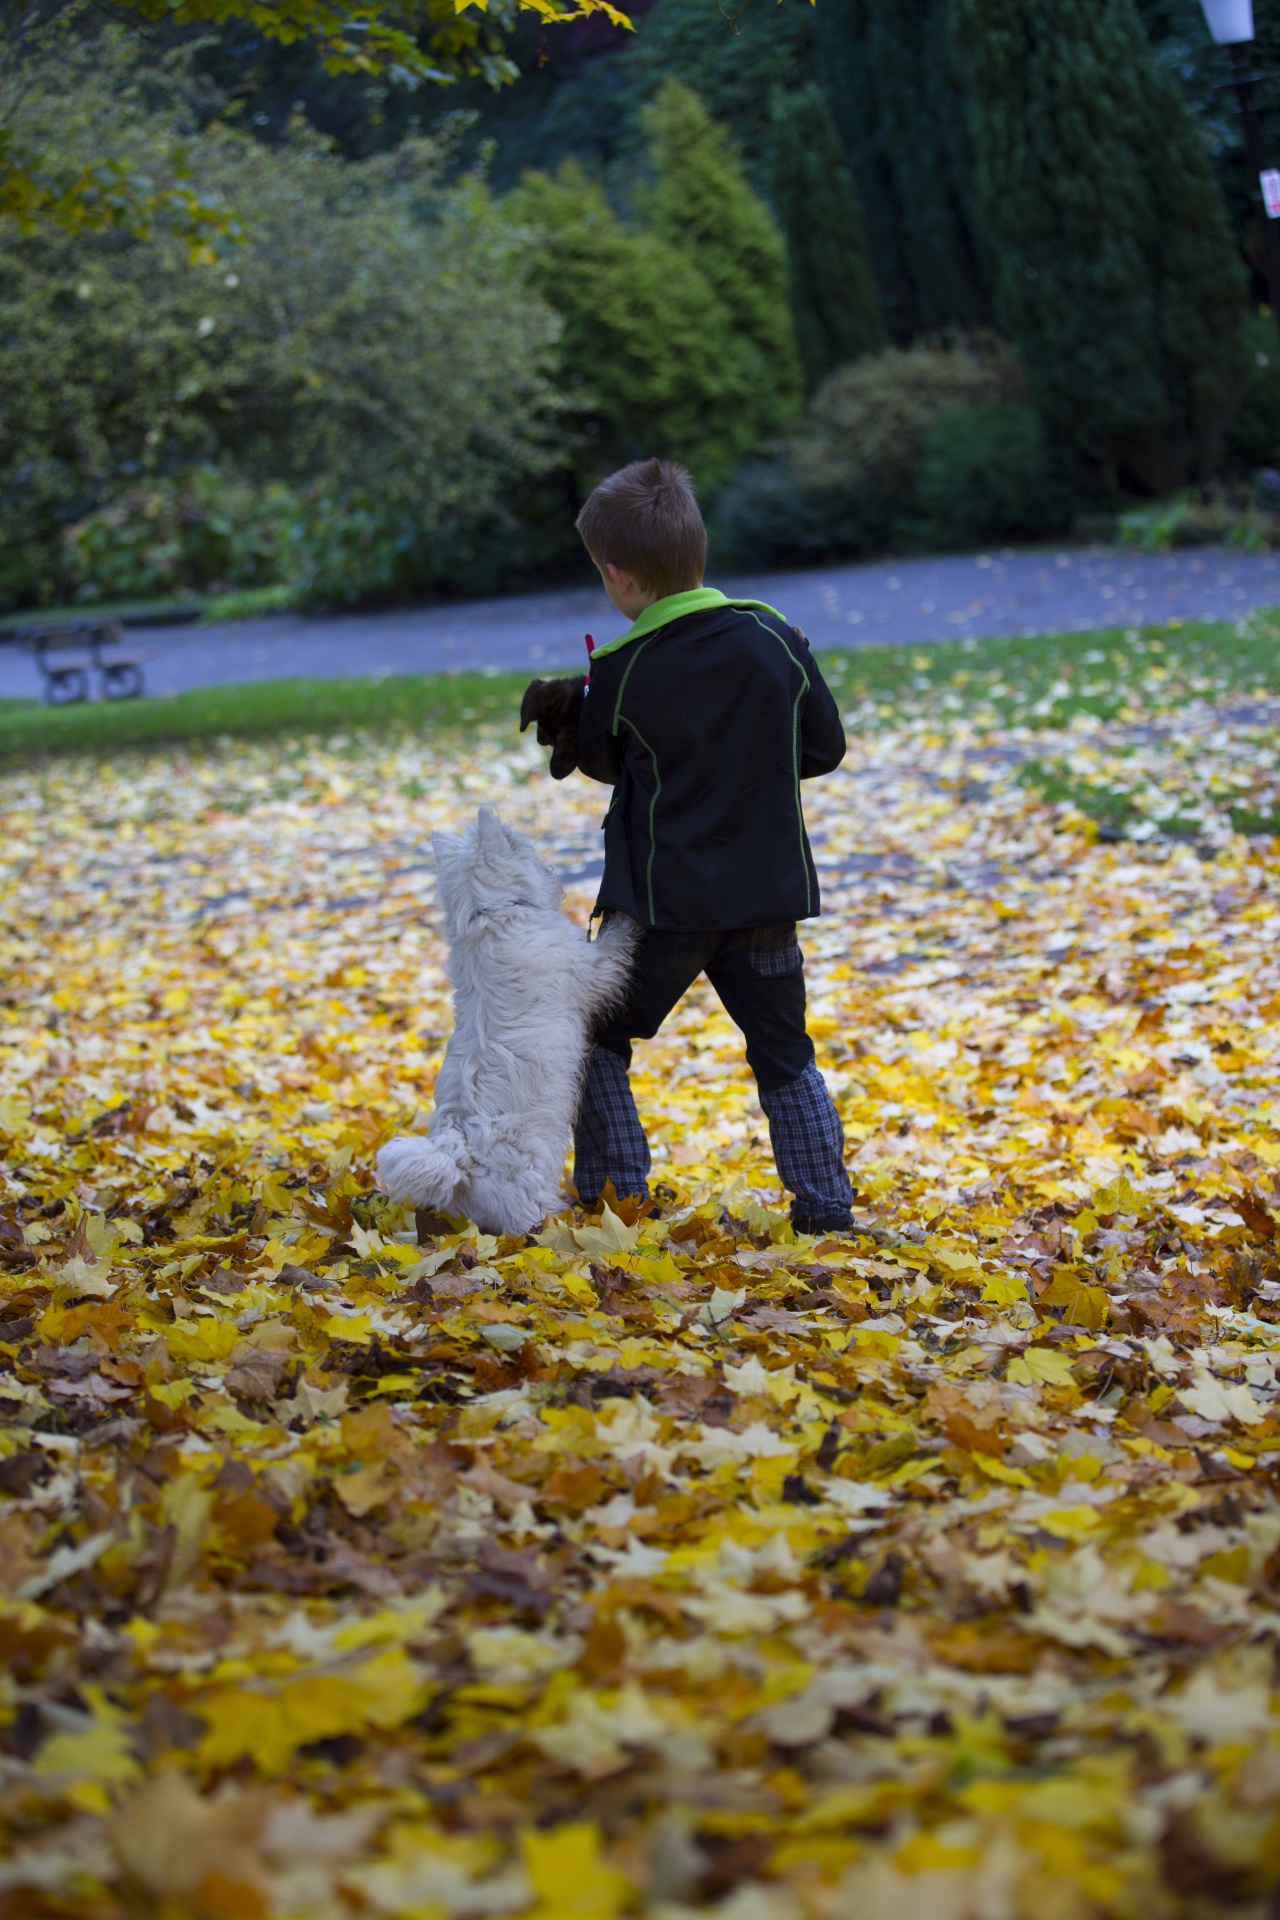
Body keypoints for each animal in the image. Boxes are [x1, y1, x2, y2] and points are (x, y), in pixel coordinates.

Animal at [379, 806, 640, 1228]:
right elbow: (615, 944)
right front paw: (628, 916)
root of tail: (459, 1157)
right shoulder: (591, 971)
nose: (544, 858)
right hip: (528, 1185)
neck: (489, 917)